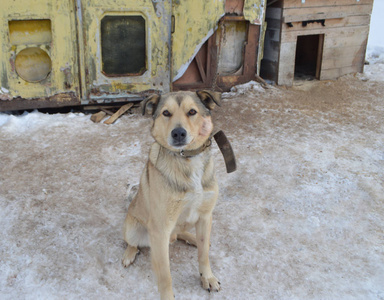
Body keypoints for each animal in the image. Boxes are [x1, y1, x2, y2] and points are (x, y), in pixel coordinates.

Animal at [123, 91, 222, 300]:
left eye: (192, 111)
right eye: (166, 113)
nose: (178, 133)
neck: (187, 160)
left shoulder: (205, 216)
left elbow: (203, 255)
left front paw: (207, 277)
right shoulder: (160, 230)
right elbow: (165, 276)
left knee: (182, 233)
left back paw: (193, 239)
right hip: (133, 228)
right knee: (132, 242)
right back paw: (129, 254)